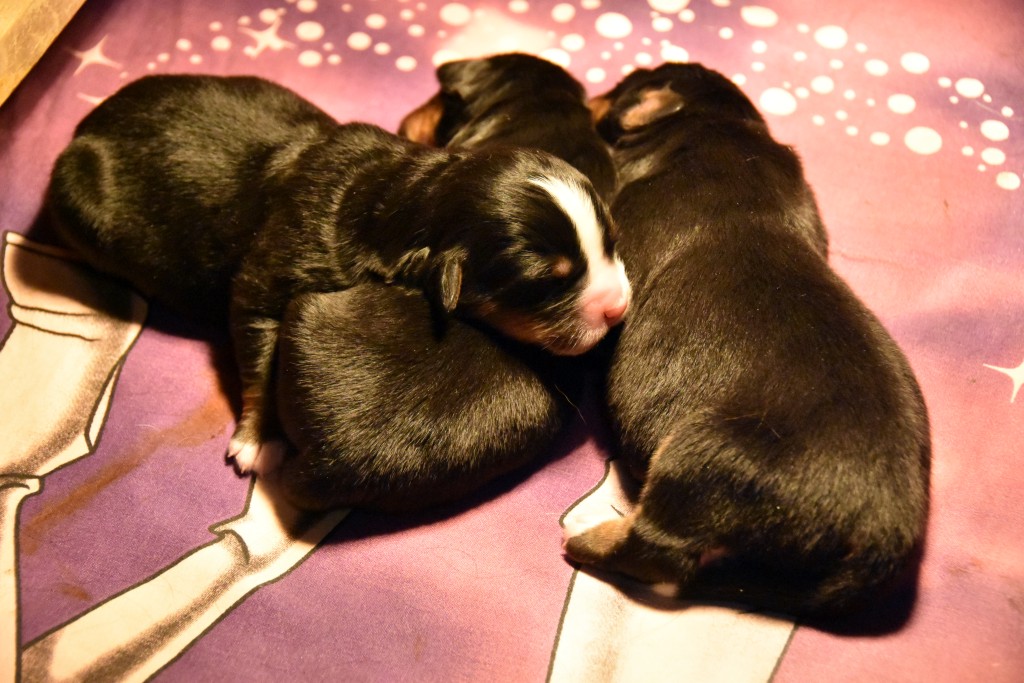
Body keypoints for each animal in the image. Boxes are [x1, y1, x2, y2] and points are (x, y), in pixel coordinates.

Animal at [46, 74, 630, 474]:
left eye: (612, 239)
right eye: (549, 282)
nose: (620, 308)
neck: (400, 196)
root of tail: (85, 124)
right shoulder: (267, 280)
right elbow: (258, 356)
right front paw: (256, 441)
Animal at [562, 63, 931, 617]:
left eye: (627, 82)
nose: (588, 96)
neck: (714, 121)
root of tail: (884, 537)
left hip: (700, 457)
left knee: (661, 551)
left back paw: (587, 541)